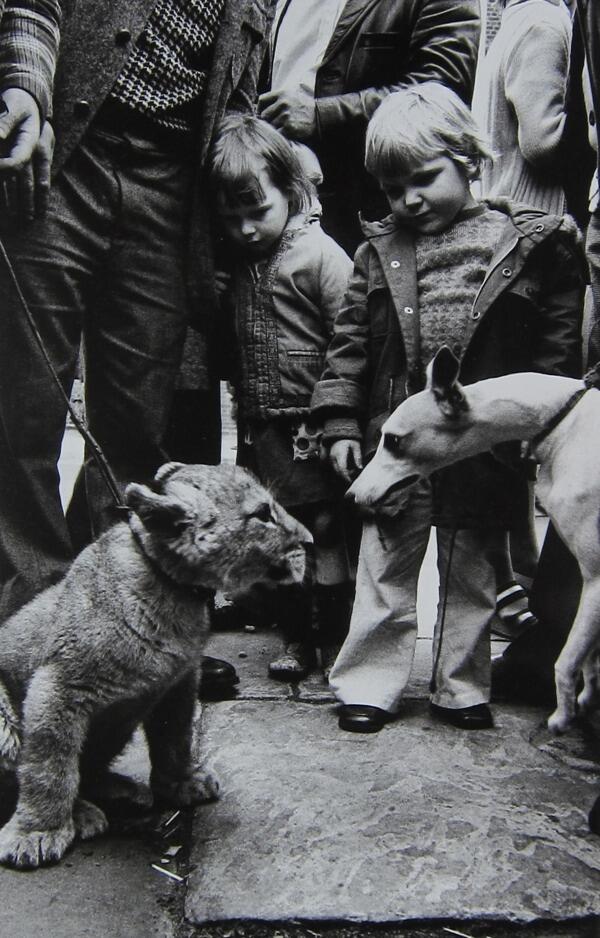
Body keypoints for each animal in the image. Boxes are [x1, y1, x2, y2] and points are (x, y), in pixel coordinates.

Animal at [350, 344, 600, 732]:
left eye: (392, 440)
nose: (350, 496)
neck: (561, 420)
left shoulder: (595, 576)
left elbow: (569, 657)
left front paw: (563, 716)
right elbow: (589, 657)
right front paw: (585, 702)